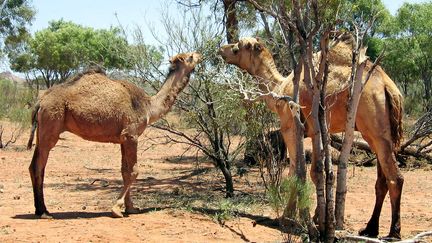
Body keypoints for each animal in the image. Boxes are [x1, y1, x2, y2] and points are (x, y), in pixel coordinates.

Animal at [26, 51, 201, 218]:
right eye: (190, 56)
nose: (200, 55)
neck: (148, 107)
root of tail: (41, 101)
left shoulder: (123, 139)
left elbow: (125, 171)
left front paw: (131, 208)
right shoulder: (131, 135)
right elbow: (134, 171)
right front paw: (116, 209)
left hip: (42, 131)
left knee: (34, 165)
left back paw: (39, 210)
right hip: (51, 125)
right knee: (38, 166)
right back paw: (44, 212)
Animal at [219, 37, 404, 238]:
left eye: (237, 47)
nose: (221, 49)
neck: (279, 89)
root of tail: (389, 88)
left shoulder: (291, 126)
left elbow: (297, 171)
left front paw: (289, 218)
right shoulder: (319, 130)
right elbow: (318, 172)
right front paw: (318, 218)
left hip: (374, 126)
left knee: (395, 178)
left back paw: (393, 232)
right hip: (376, 133)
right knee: (382, 180)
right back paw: (370, 228)